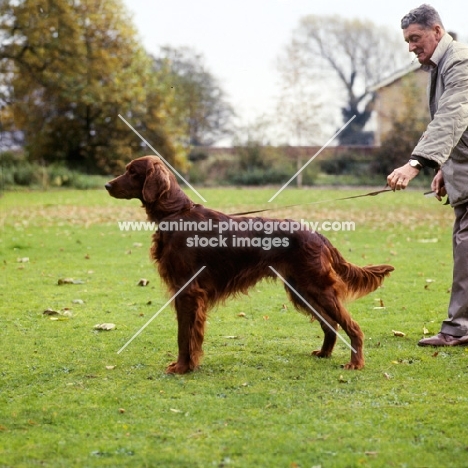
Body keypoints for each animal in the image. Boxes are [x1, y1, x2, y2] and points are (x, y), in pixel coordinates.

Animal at [105, 155, 392, 374]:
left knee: (351, 326)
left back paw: (355, 363)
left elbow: (184, 335)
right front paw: (187, 365)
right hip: (302, 289)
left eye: (132, 171)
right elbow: (188, 334)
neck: (176, 214)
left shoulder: (188, 291)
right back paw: (324, 353)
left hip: (316, 286)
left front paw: (182, 368)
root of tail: (316, 234)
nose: (107, 185)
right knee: (330, 325)